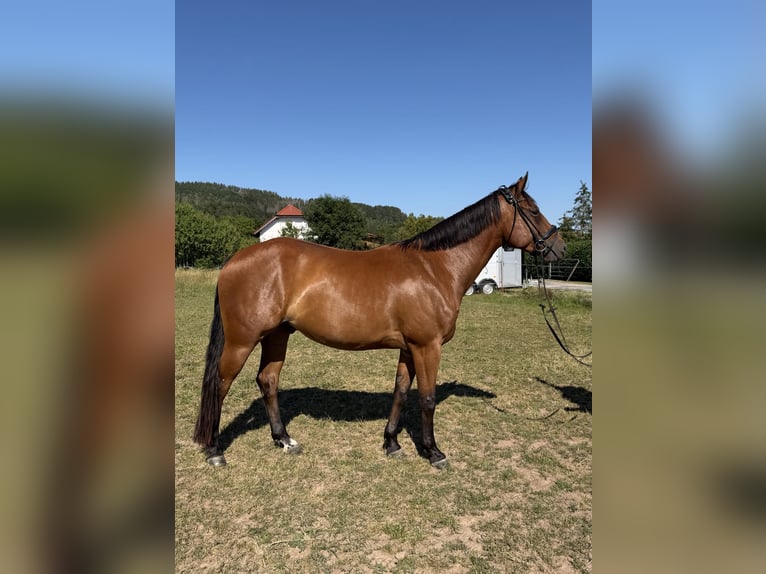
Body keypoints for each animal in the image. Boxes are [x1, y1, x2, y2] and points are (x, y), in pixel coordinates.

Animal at [193, 173, 565, 468]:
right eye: (533, 210)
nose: (558, 248)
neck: (434, 268)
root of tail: (234, 261)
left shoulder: (409, 348)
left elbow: (400, 392)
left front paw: (392, 444)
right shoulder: (427, 347)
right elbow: (427, 399)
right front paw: (433, 452)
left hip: (277, 335)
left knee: (267, 381)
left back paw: (284, 439)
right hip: (242, 340)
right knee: (220, 385)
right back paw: (215, 450)